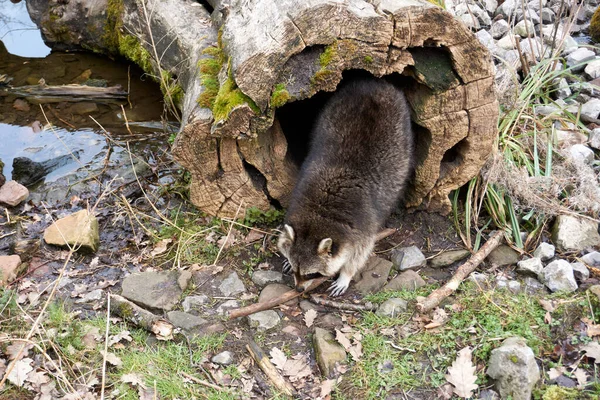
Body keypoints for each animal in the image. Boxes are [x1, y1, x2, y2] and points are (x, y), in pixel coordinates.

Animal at [278, 79, 414, 296]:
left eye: (312, 274)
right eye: (296, 268)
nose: (298, 289)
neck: (319, 215)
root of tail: (375, 83)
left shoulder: (362, 225)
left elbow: (360, 253)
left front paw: (346, 275)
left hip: (402, 134)